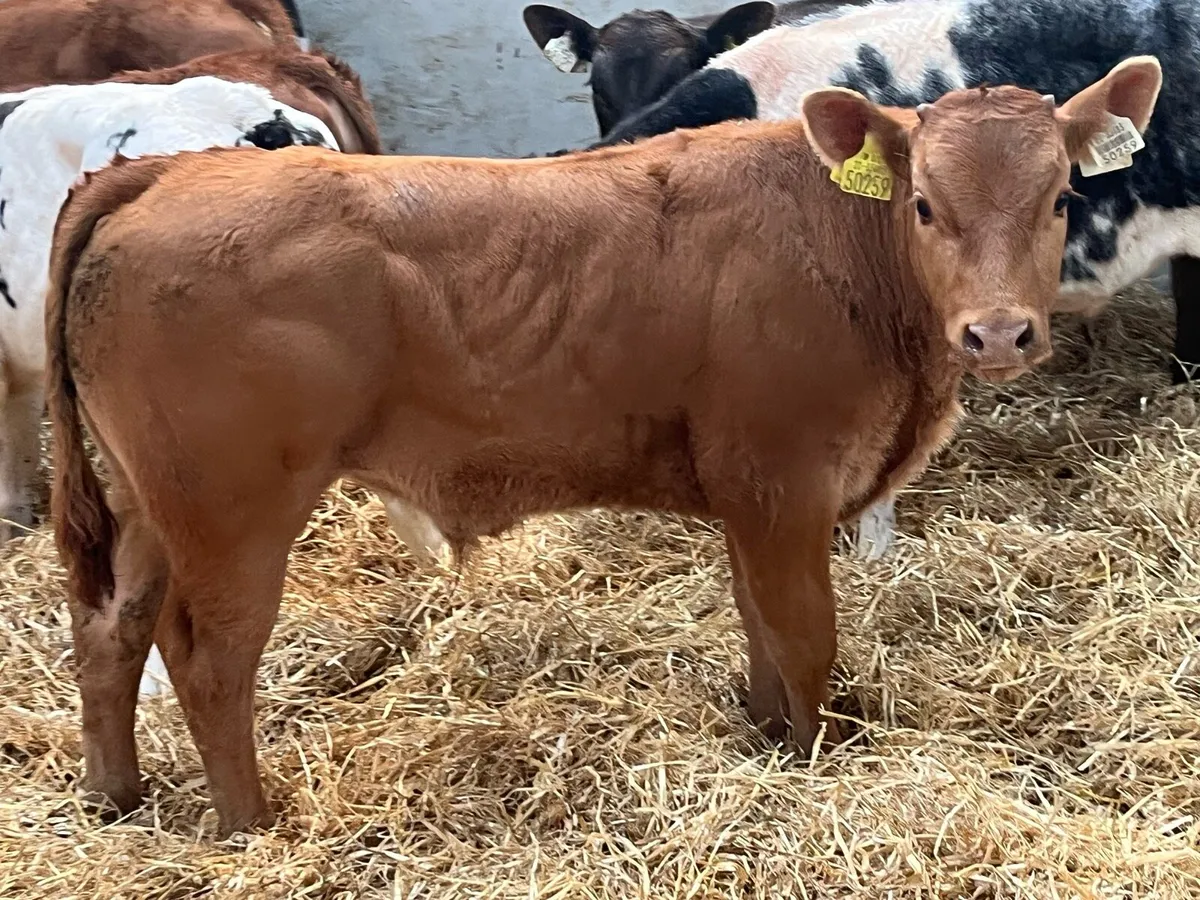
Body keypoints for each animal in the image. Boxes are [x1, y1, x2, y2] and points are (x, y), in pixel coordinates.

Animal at [43, 56, 1160, 835]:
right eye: (925, 204)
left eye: (1060, 198)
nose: (999, 334)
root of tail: (164, 174)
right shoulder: (784, 482)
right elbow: (804, 638)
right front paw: (813, 762)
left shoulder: (750, 497)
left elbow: (760, 629)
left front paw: (765, 741)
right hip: (234, 515)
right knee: (210, 663)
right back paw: (252, 826)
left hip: (151, 507)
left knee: (112, 632)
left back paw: (114, 796)